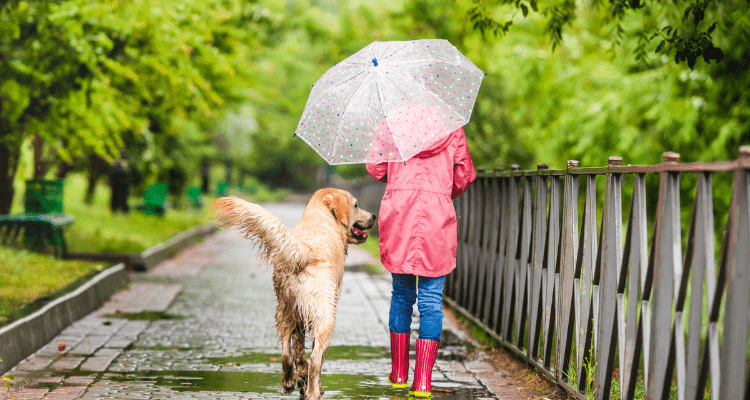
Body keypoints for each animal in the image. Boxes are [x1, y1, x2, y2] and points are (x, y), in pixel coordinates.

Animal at [212, 189, 376, 398]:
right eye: (356, 205)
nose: (374, 216)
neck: (321, 216)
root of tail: (305, 252)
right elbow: (315, 357)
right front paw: (313, 386)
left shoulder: (299, 317)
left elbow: (299, 352)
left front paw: (300, 381)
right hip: (325, 318)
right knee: (315, 359)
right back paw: (314, 392)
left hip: (285, 309)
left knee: (286, 353)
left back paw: (290, 382)